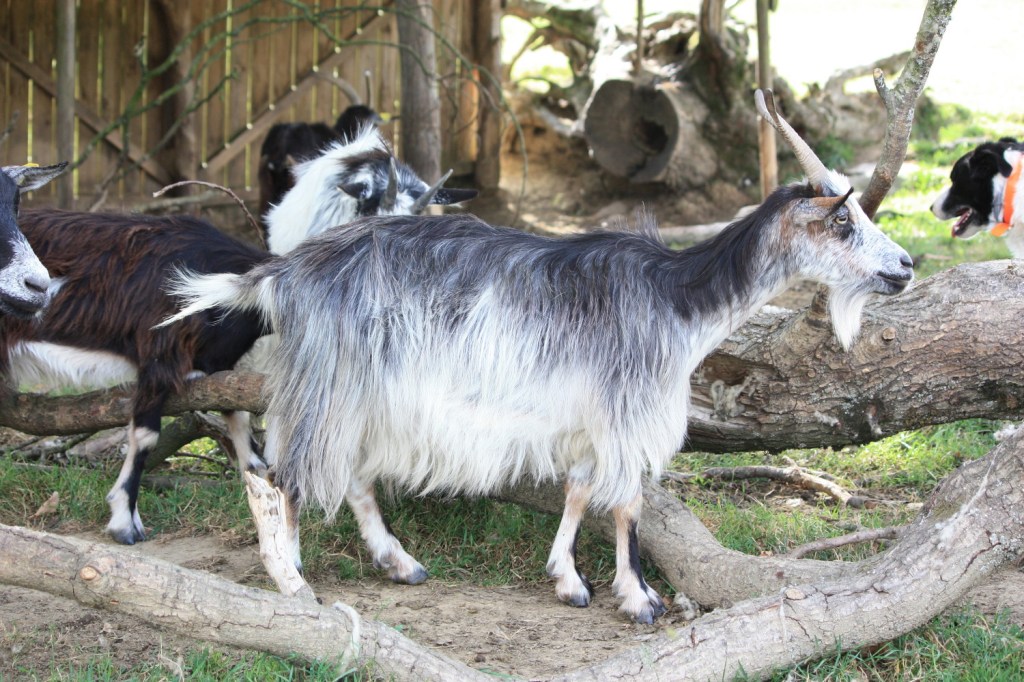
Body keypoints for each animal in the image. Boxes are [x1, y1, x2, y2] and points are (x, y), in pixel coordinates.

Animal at [164, 90, 914, 624]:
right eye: (842, 222)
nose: (906, 266)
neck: (676, 297)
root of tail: (284, 272)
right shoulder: (626, 407)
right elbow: (627, 502)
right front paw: (638, 597)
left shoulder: (587, 416)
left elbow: (580, 489)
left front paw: (568, 579)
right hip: (333, 381)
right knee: (285, 476)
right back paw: (294, 583)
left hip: (358, 391)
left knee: (340, 472)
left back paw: (397, 561)